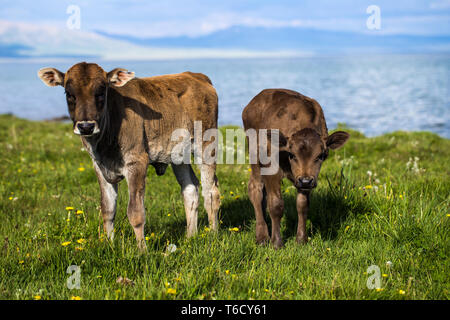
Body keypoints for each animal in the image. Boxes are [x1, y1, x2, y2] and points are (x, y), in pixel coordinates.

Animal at [37, 61, 221, 249]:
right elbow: (107, 209)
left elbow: (135, 212)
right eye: (69, 94)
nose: (86, 126)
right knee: (190, 189)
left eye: (101, 91)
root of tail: (196, 76)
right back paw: (190, 236)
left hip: (206, 145)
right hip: (178, 155)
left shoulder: (136, 162)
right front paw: (110, 245)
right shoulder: (99, 166)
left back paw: (212, 235)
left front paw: (142, 250)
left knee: (211, 192)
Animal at [241, 89, 350, 249]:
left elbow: (302, 205)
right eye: (292, 155)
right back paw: (262, 237)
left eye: (321, 156)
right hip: (255, 157)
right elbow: (276, 205)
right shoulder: (271, 169)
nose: (305, 181)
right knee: (255, 189)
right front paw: (277, 243)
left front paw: (301, 240)